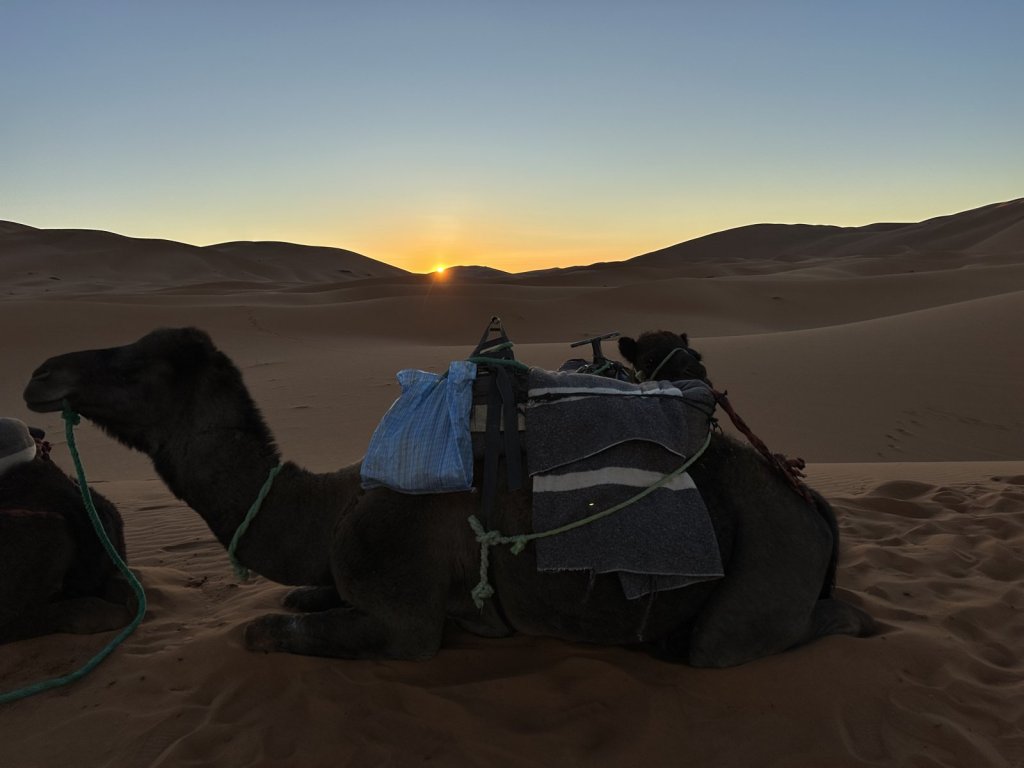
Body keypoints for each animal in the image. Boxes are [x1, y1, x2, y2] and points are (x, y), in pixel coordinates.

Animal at [23, 327, 874, 666]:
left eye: (138, 366)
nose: (41, 375)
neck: (330, 508)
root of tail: (807, 501)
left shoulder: (401, 615)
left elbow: (267, 627)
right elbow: (298, 598)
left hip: (765, 571)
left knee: (728, 641)